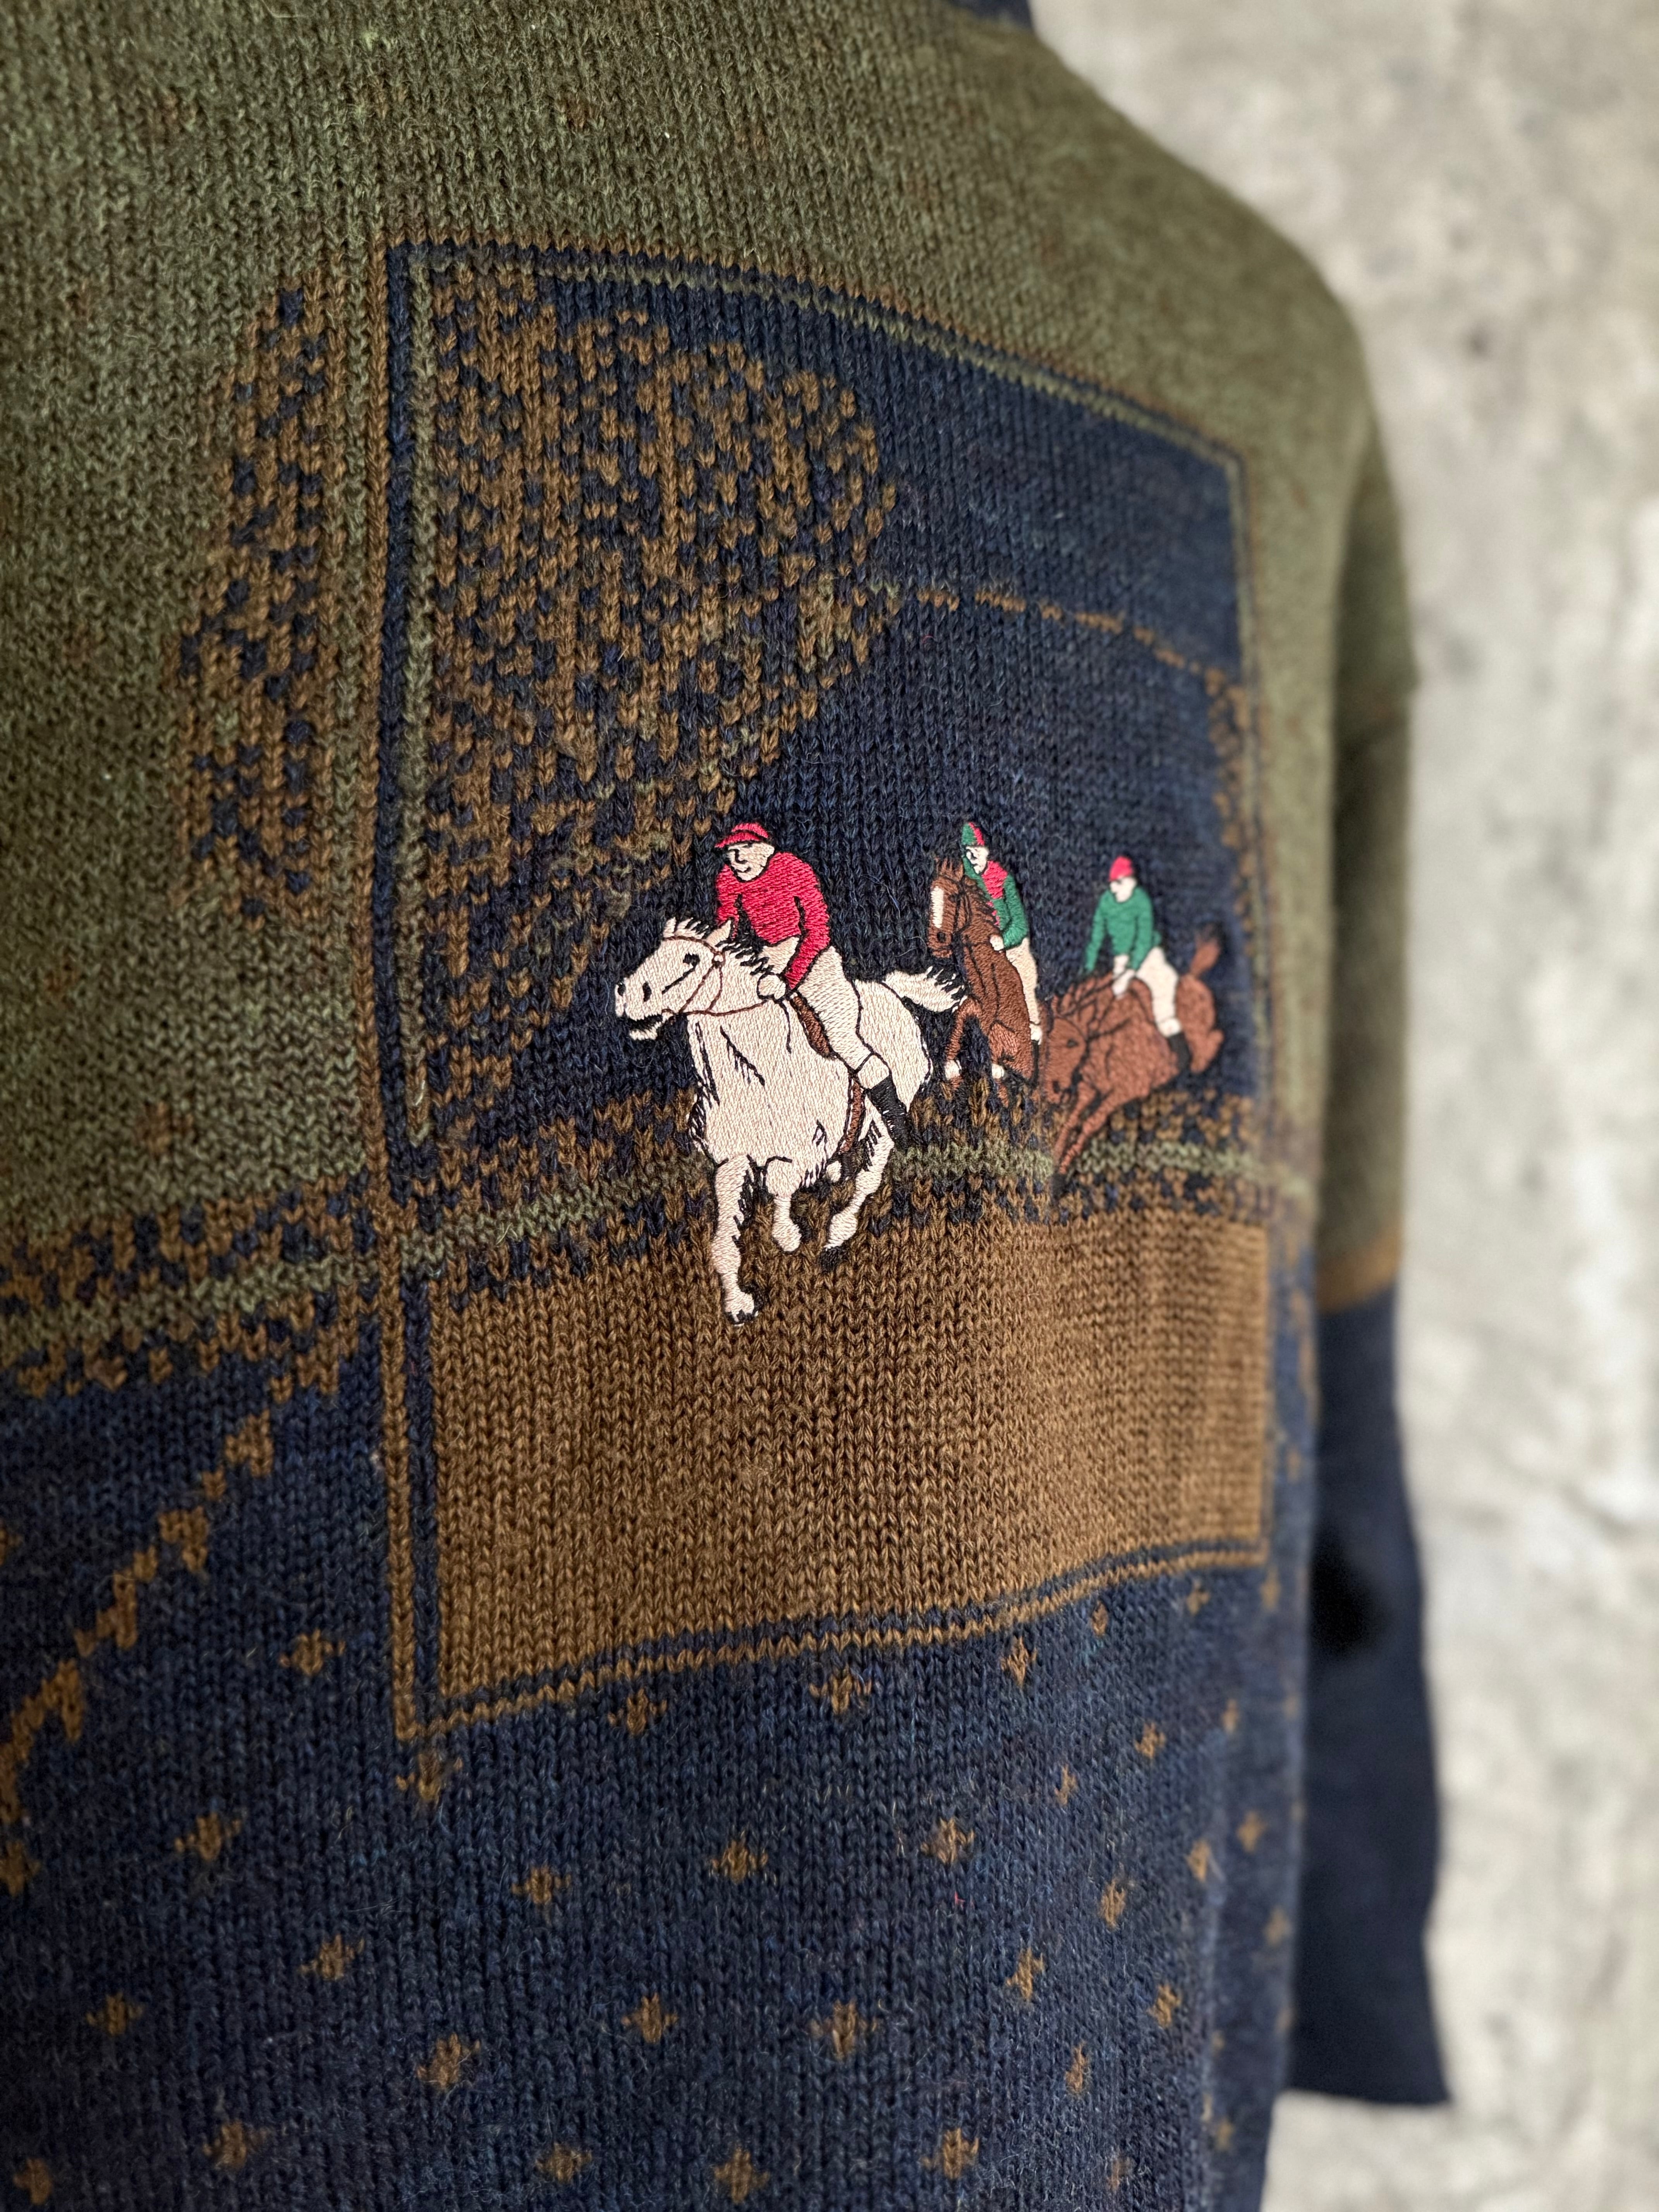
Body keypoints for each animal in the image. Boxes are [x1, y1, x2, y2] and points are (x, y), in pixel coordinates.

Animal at [615, 917, 952, 1321]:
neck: (757, 1073)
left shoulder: (803, 1152)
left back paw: (836, 1236)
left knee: (868, 1178)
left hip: (884, 1125)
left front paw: (788, 1234)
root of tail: (890, 991)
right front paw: (739, 1304)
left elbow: (780, 1180)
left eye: (691, 960)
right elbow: (723, 1239)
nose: (627, 994)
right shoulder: (731, 1161)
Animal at [925, 856, 1037, 1083]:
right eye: (931, 898)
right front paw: (950, 1065)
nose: (937, 942)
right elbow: (960, 1015)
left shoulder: (988, 1010)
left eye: (954, 897)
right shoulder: (975, 1002)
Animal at [1040, 930, 1226, 1173]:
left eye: (1072, 1043)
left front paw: (1062, 1170)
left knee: (1212, 1040)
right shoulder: (1089, 1087)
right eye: (1048, 1041)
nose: (1053, 1090)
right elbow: (1073, 1119)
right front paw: (1057, 1158)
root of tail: (1194, 977)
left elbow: (1090, 1124)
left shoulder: (1121, 1093)